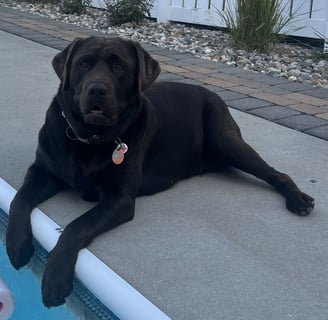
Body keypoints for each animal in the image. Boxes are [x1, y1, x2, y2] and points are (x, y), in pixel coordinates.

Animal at [4, 37, 312, 308]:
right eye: (83, 64)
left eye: (119, 67)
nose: (96, 89)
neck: (89, 140)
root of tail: (213, 94)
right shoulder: (42, 171)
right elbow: (19, 199)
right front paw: (16, 245)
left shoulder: (120, 198)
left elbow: (75, 227)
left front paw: (55, 279)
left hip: (226, 140)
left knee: (276, 173)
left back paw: (298, 199)